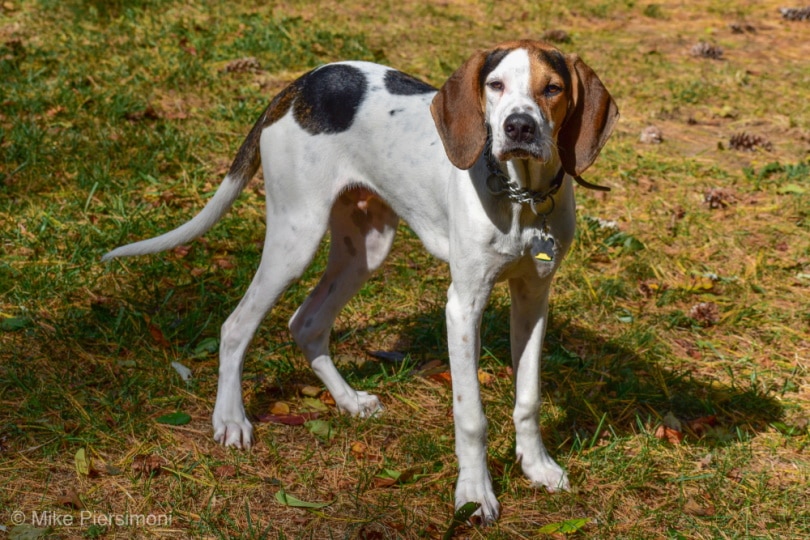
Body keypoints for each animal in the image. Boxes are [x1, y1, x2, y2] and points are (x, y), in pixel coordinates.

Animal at [104, 40, 616, 520]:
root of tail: (300, 85)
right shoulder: (463, 306)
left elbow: (528, 398)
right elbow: (471, 415)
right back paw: (231, 419)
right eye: (496, 86)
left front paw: (536, 467)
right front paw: (474, 494)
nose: (519, 128)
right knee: (235, 326)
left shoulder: (533, 297)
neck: (521, 196)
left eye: (553, 88)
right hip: (296, 237)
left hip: (365, 249)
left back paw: (348, 400)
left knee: (306, 322)